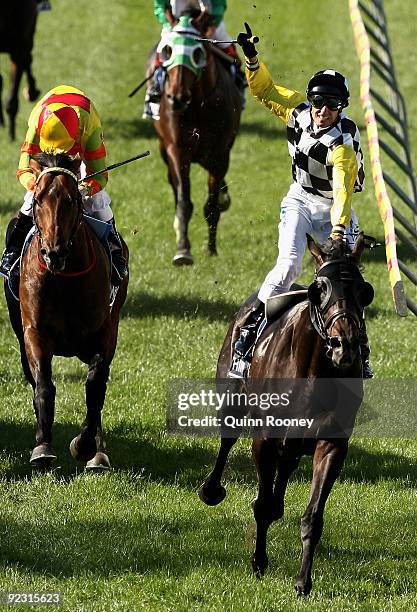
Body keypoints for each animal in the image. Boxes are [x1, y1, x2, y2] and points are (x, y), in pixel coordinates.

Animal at [4, 153, 128, 468]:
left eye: (71, 200)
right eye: (38, 201)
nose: (53, 253)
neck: (64, 280)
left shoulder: (104, 333)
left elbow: (95, 385)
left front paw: (85, 445)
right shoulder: (34, 333)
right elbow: (44, 386)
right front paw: (42, 446)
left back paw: (98, 451)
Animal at [153, 11, 240, 266]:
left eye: (198, 53)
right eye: (168, 50)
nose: (177, 97)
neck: (198, 106)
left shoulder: (220, 153)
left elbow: (211, 205)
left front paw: (211, 249)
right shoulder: (177, 150)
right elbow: (184, 201)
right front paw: (183, 250)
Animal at [198, 235, 374, 596]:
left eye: (365, 291)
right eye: (319, 289)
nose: (346, 345)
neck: (311, 372)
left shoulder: (331, 444)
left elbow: (313, 516)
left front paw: (303, 582)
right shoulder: (264, 439)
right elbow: (262, 504)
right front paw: (259, 562)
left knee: (287, 464)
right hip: (231, 397)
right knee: (227, 442)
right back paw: (211, 489)